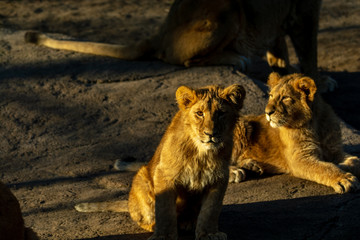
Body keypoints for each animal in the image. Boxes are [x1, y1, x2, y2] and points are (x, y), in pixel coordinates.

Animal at [25, 0, 328, 86]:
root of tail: (162, 30)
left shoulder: (277, 21)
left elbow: (280, 55)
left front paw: (287, 79)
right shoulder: (304, 12)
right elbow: (309, 54)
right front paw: (315, 83)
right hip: (227, 10)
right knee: (184, 60)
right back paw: (234, 58)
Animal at [75, 84, 246, 240]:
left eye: (221, 113)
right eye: (199, 113)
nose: (211, 134)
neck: (202, 153)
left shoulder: (218, 178)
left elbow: (210, 210)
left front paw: (209, 234)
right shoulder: (164, 175)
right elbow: (165, 210)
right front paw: (164, 236)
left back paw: (188, 223)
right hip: (141, 178)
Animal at [231, 72, 360, 193]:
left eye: (285, 98)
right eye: (271, 96)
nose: (267, 112)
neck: (315, 125)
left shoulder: (335, 150)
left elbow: (355, 160)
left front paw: (341, 166)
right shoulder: (299, 159)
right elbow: (325, 168)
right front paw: (344, 179)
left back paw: (252, 166)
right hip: (242, 126)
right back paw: (235, 172)